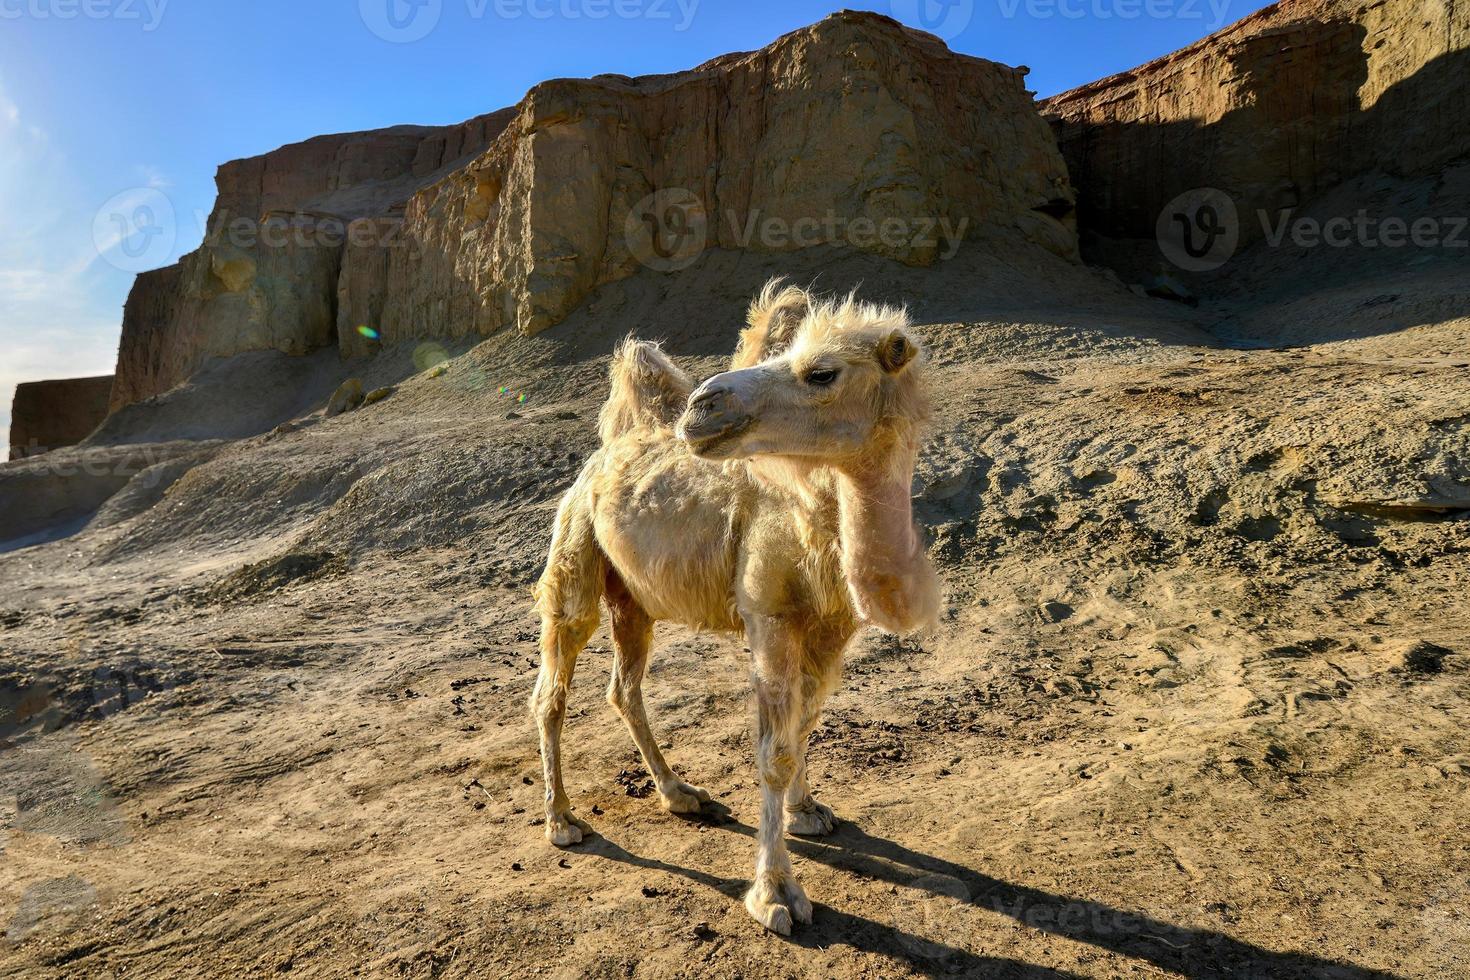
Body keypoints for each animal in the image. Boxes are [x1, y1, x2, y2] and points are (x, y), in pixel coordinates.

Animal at [532, 277, 940, 934]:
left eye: (822, 373)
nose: (704, 406)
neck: (820, 515)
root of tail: (608, 449)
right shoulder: (770, 616)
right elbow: (773, 751)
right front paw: (777, 895)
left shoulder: (831, 628)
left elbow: (804, 724)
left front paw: (807, 811)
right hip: (575, 555)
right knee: (553, 688)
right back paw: (563, 820)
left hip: (634, 600)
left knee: (624, 687)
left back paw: (681, 795)